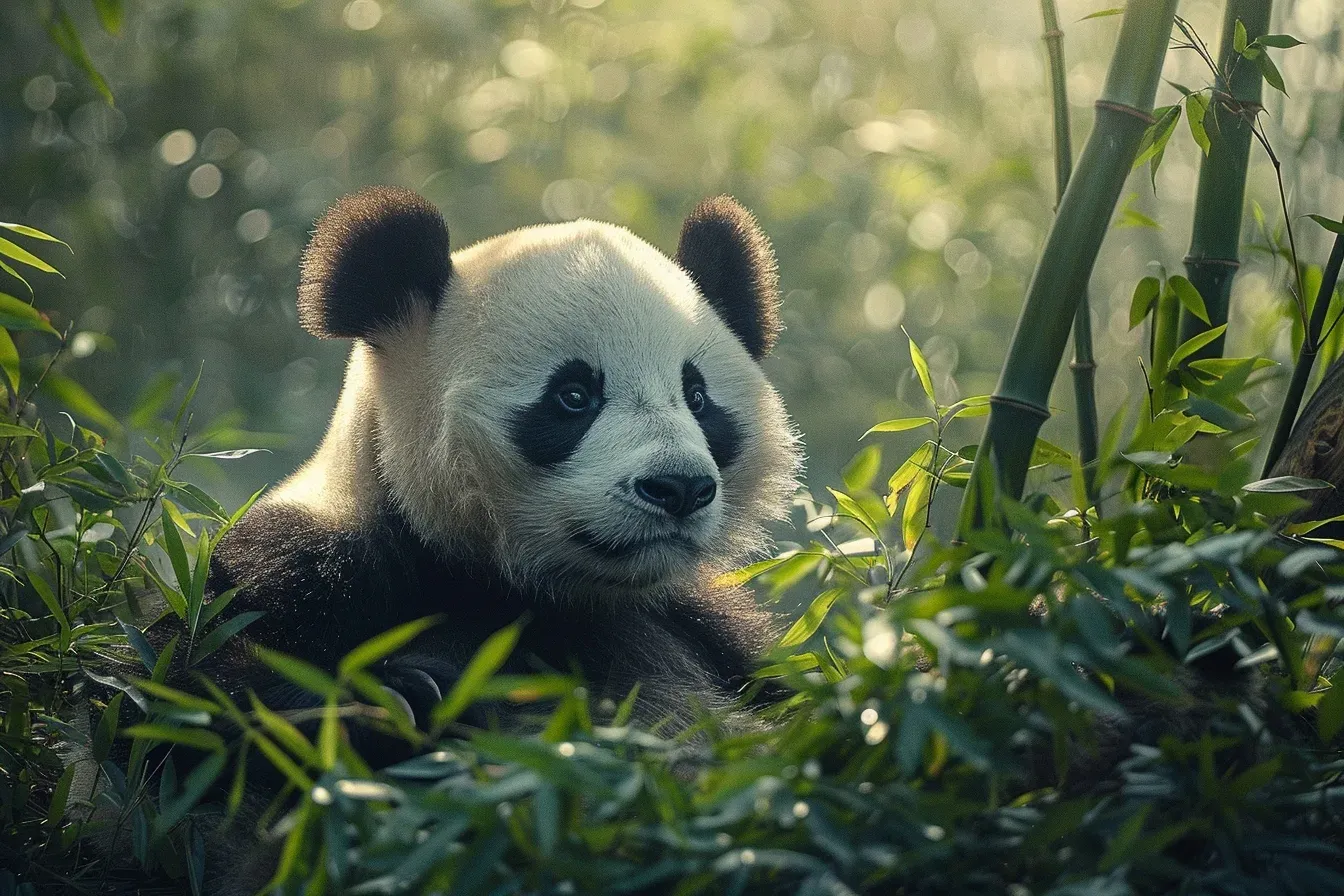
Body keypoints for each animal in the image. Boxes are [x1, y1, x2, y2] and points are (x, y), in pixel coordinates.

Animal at [188, 185, 803, 739]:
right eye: (573, 396)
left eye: (697, 398)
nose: (679, 487)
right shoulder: (306, 577)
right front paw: (391, 701)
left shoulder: (707, 628)